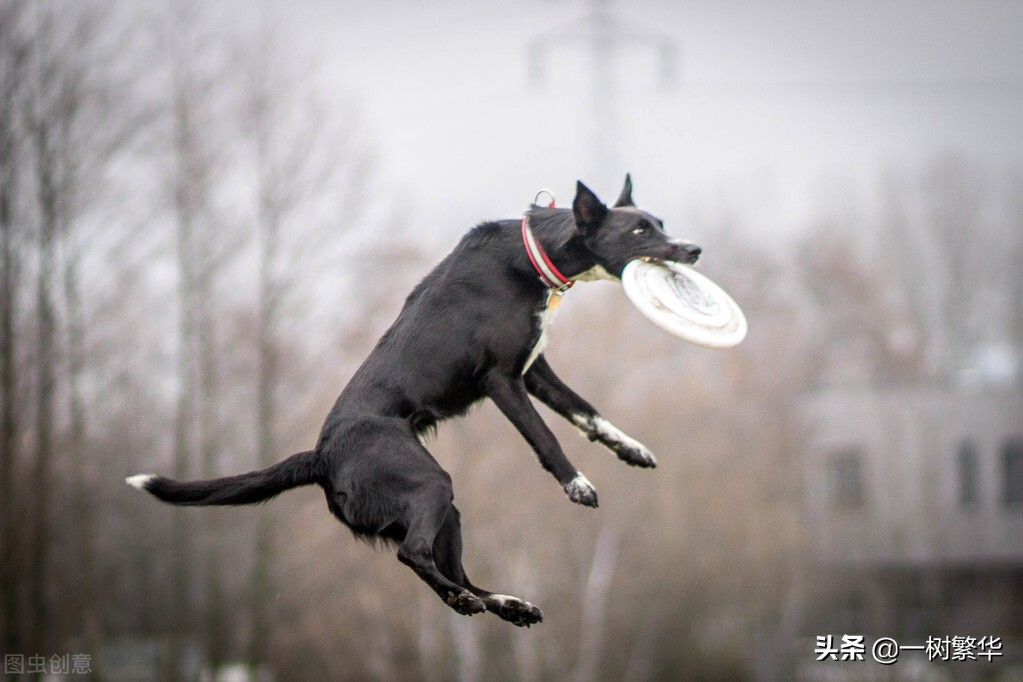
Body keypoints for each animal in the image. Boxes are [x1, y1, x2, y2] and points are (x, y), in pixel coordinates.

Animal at [125, 177, 703, 629]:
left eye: (660, 222)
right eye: (640, 231)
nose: (694, 249)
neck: (532, 255)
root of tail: (321, 455)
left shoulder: (534, 371)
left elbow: (586, 411)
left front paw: (630, 449)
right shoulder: (502, 381)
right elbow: (547, 437)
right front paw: (576, 484)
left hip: (447, 510)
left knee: (455, 571)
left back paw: (504, 604)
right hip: (429, 483)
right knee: (413, 555)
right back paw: (470, 601)